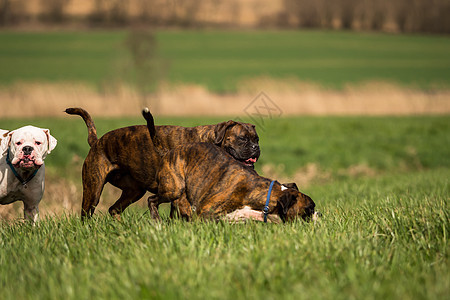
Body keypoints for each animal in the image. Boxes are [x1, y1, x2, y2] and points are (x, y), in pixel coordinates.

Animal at [64, 108, 258, 218]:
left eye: (256, 139)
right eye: (242, 139)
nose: (256, 147)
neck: (210, 140)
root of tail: (96, 142)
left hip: (134, 191)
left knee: (114, 209)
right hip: (93, 190)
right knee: (86, 214)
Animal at [144, 109, 316, 220]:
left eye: (257, 139)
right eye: (310, 208)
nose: (319, 214)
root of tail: (169, 151)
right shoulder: (205, 211)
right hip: (173, 189)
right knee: (152, 200)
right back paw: (157, 222)